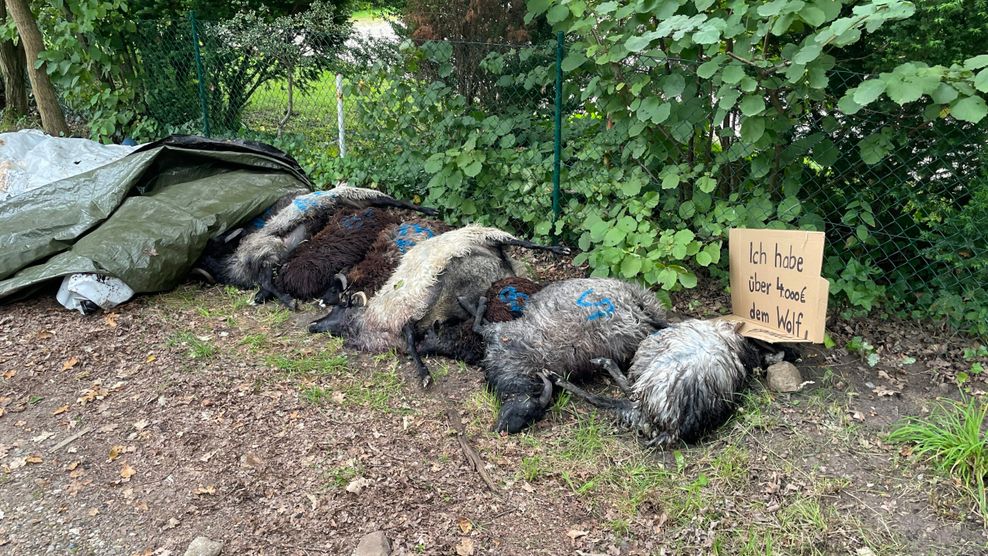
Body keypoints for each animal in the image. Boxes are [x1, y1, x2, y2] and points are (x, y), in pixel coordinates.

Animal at [466, 278, 668, 434]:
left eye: (528, 416)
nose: (502, 429)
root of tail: (637, 304)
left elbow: (478, 325)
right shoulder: (497, 337)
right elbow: (478, 325)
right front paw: (473, 302)